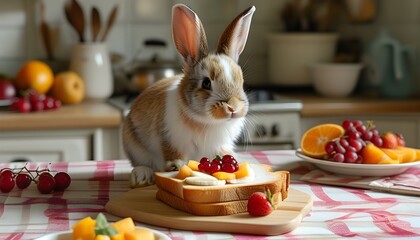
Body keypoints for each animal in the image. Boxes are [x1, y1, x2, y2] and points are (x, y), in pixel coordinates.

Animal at [122, 4, 256, 188]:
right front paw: (176, 166)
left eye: (241, 81)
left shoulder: (221, 146)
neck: (208, 122)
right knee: (142, 164)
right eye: (206, 83)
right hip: (134, 145)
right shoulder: (169, 139)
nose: (233, 107)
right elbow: (172, 154)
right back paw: (142, 176)